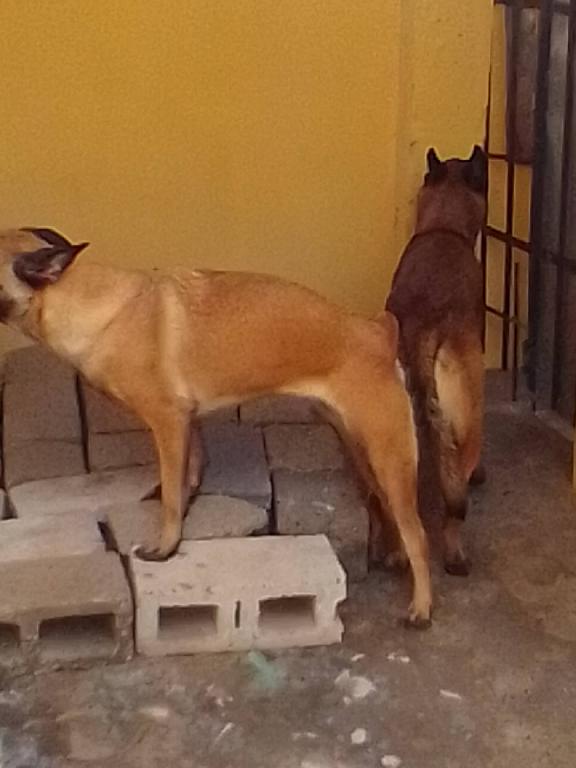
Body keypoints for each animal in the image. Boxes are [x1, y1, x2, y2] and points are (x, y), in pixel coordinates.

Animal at [0, 226, 432, 624]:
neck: (85, 299)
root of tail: (377, 331)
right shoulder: (187, 424)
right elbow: (188, 476)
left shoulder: (168, 422)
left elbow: (171, 496)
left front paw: (166, 547)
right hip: (363, 448)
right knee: (390, 508)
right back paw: (396, 557)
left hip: (387, 453)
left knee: (417, 531)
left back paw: (422, 606)